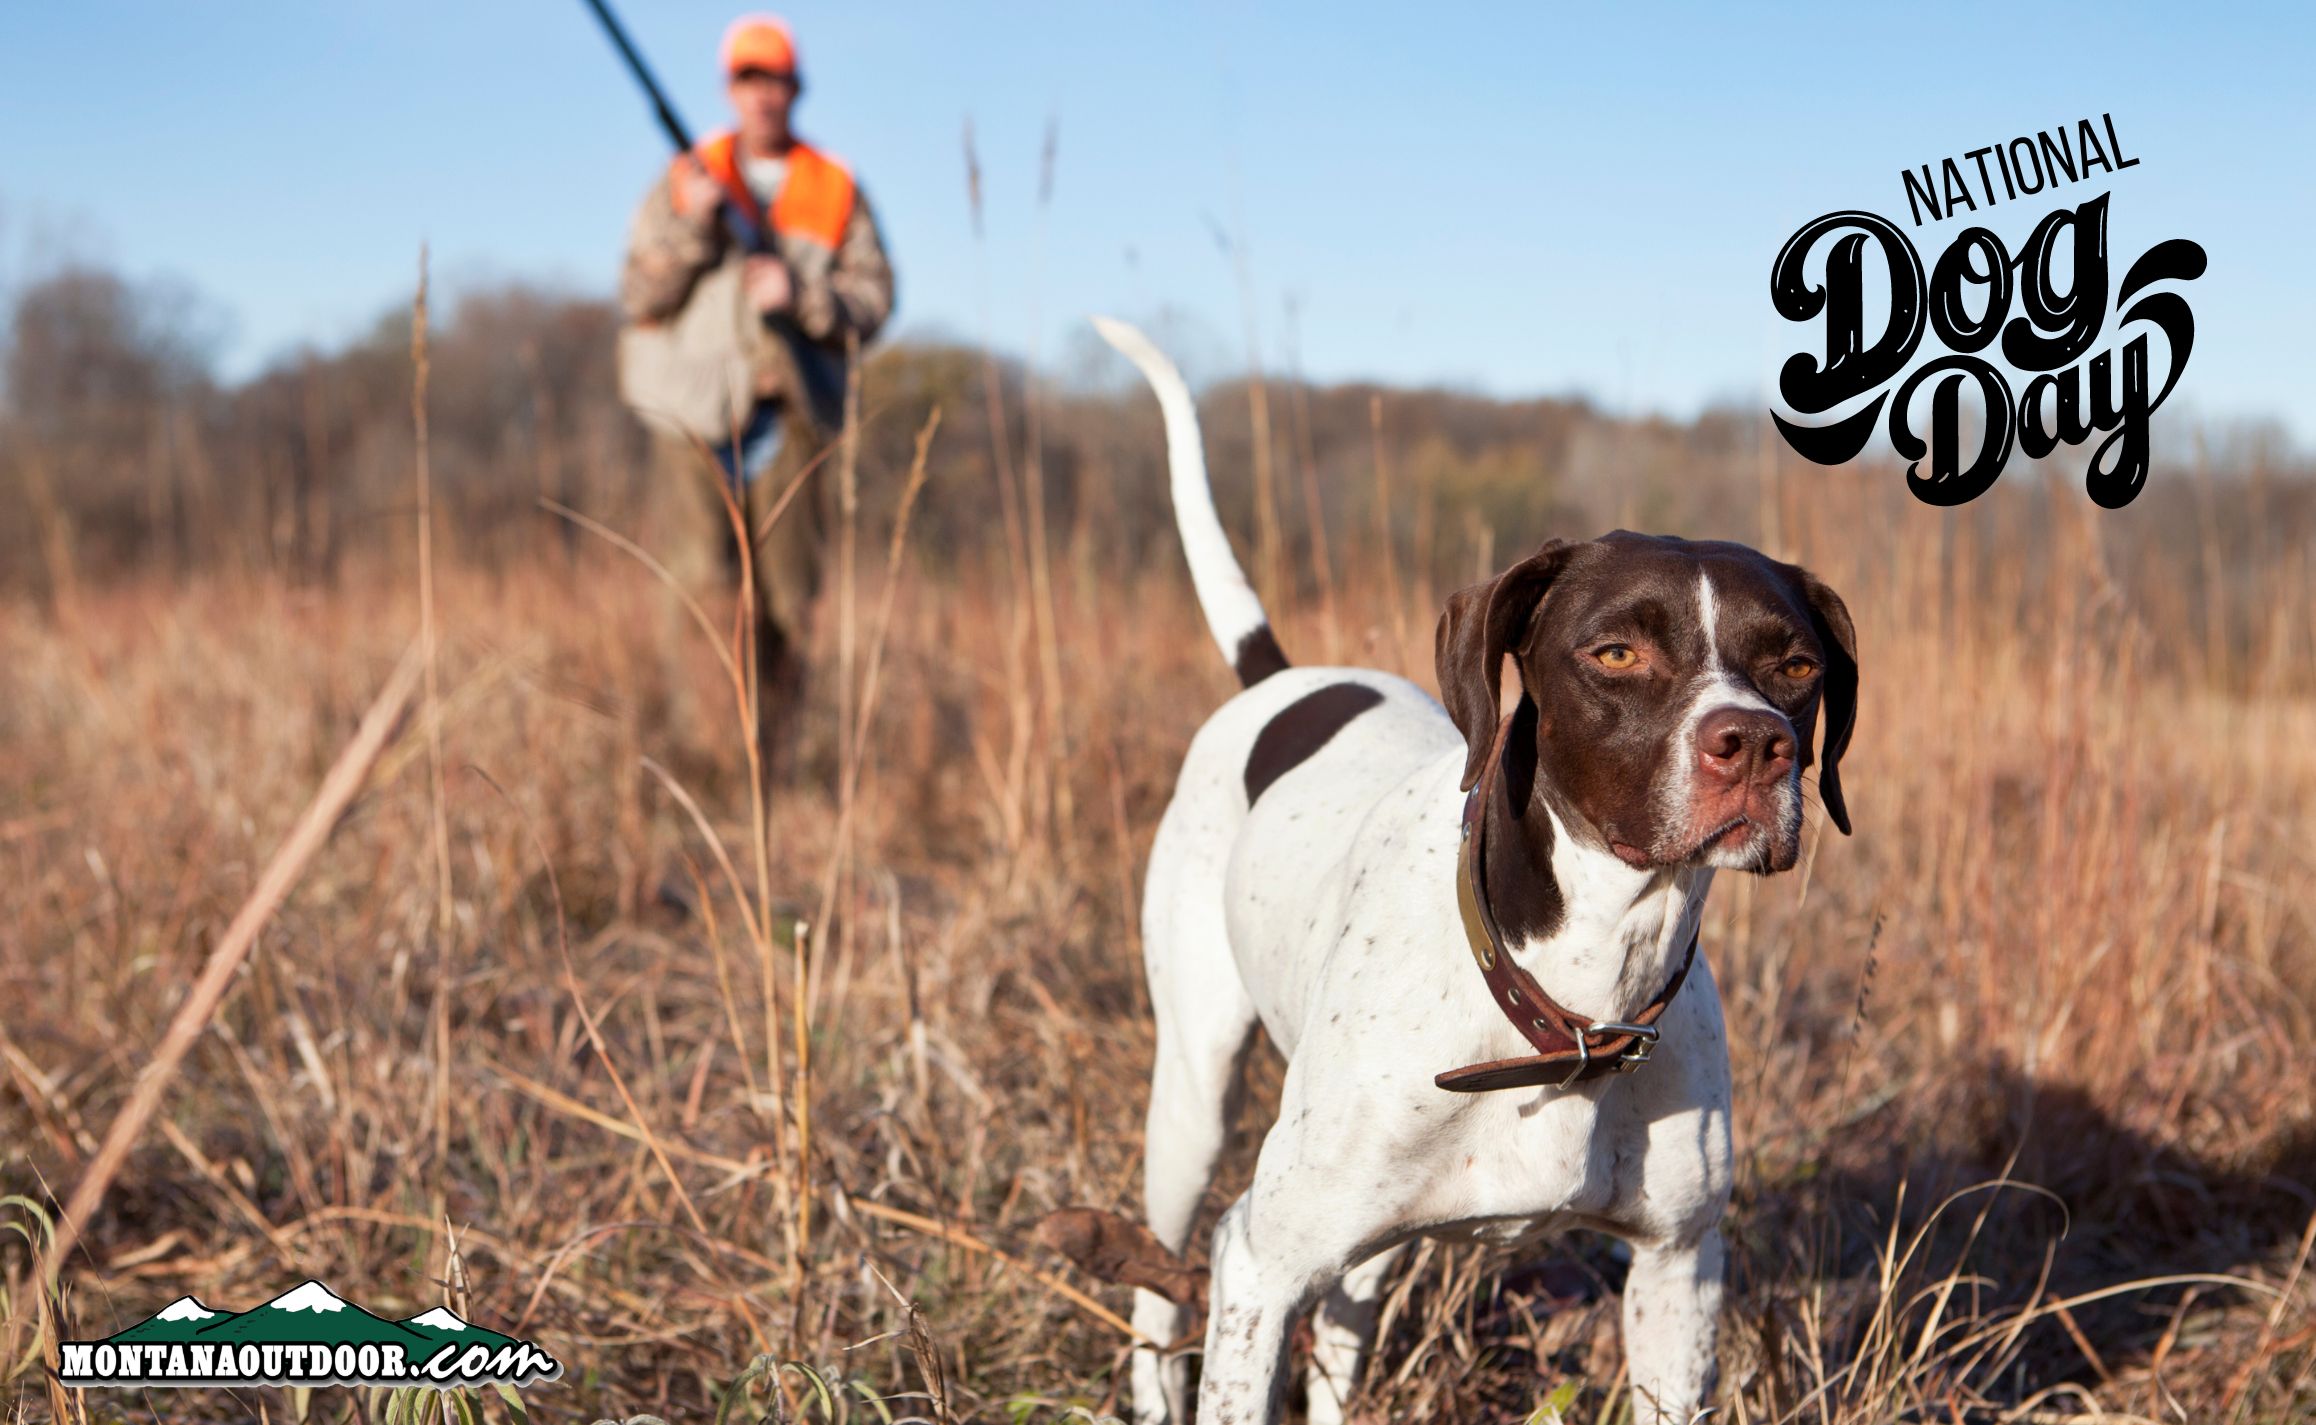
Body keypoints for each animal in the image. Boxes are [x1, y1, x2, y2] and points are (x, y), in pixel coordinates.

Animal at [1088, 315, 1862, 1425]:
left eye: (1796, 666)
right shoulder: (1258, 1264)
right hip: (1193, 1106)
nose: (1756, 745)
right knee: (1159, 1275)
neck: (1570, 998)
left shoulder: (1678, 1272)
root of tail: (1280, 676)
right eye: (1616, 653)